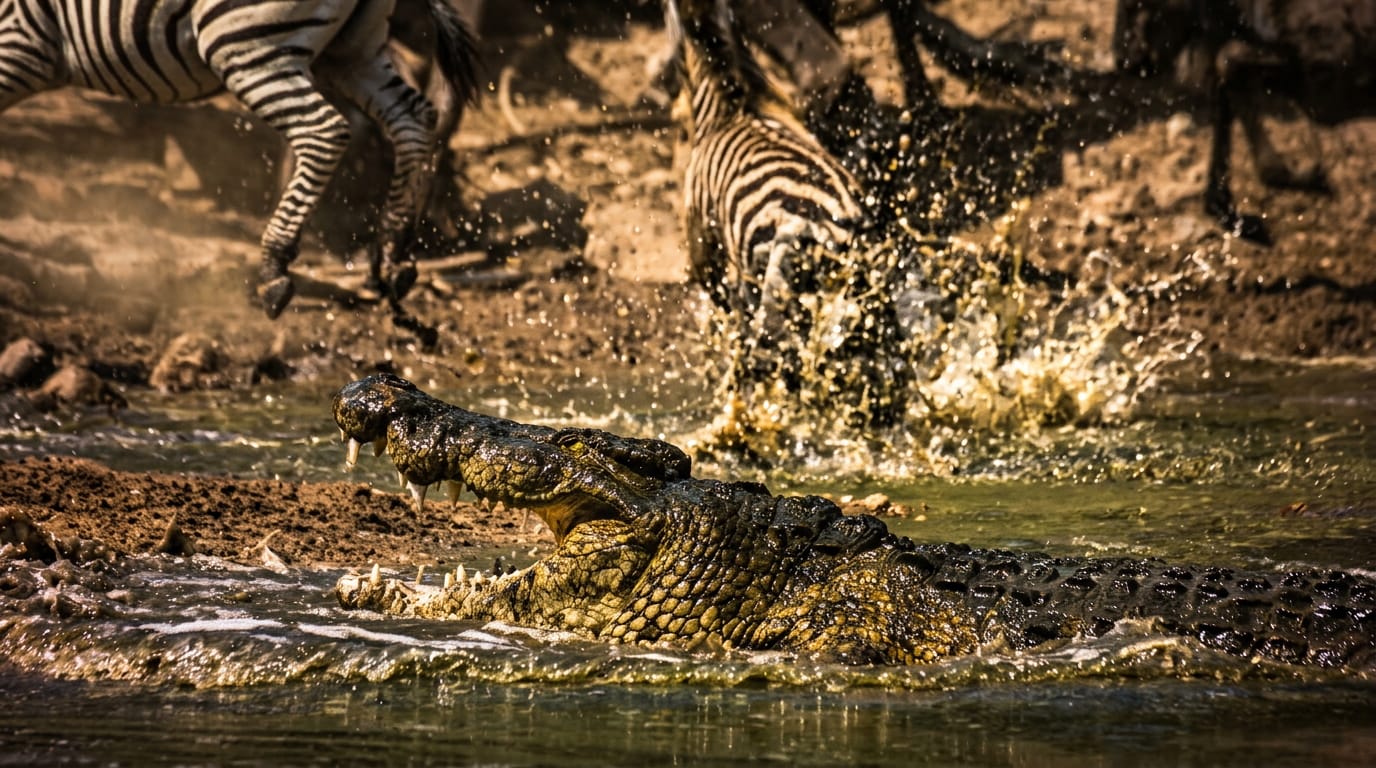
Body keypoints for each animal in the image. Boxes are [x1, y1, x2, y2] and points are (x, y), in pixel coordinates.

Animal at [0, 0, 480, 321]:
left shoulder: (15, 39)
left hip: (246, 35)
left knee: (325, 130)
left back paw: (274, 266)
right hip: (352, 46)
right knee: (414, 117)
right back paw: (393, 251)